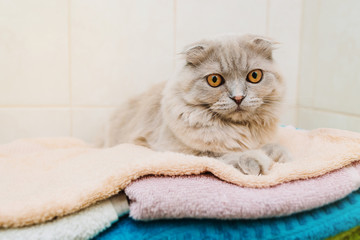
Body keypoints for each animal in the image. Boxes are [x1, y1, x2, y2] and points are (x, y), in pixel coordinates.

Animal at [100, 33, 292, 174]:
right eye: (214, 80)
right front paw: (253, 161)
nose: (238, 97)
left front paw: (280, 156)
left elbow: (273, 146)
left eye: (254, 76)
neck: (241, 128)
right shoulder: (179, 151)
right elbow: (219, 154)